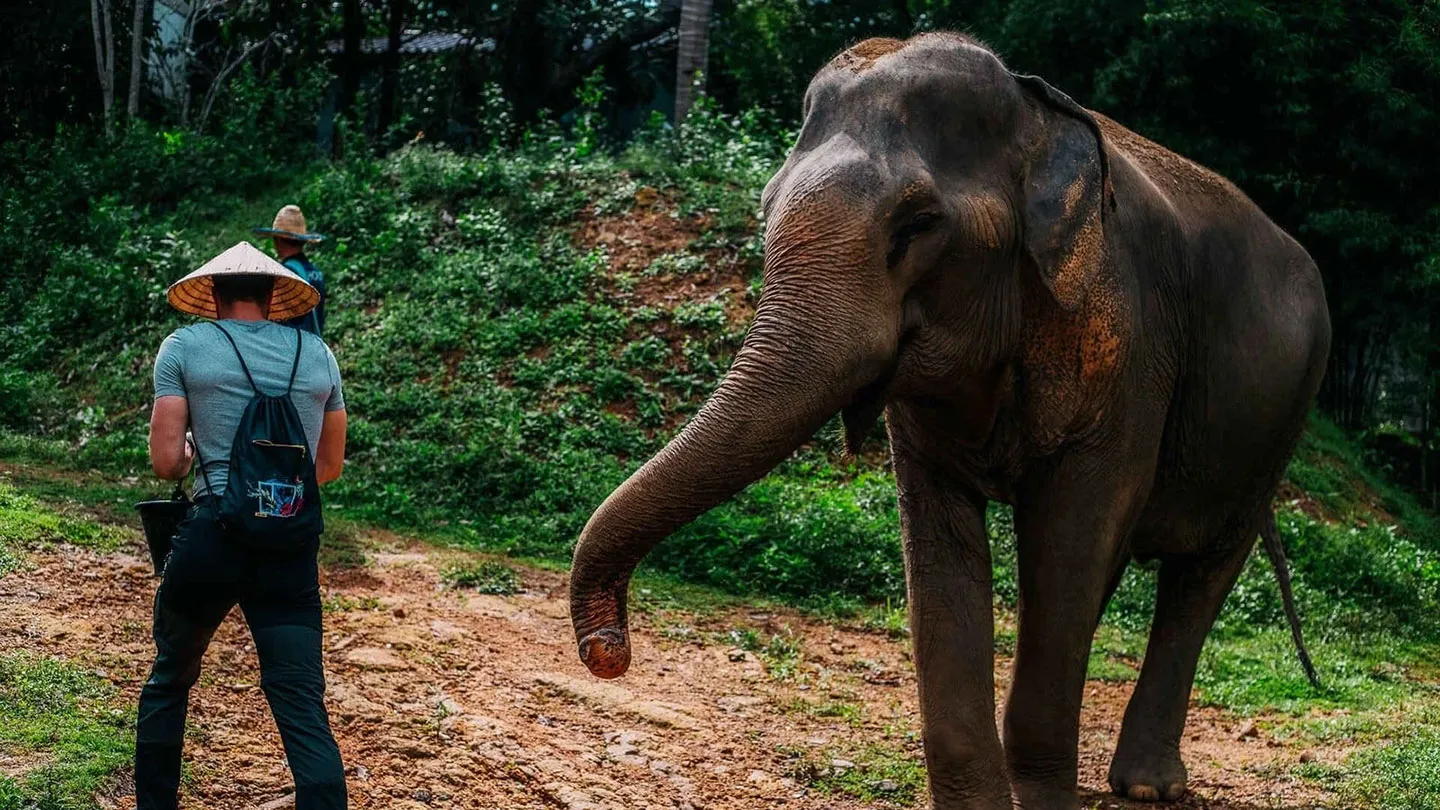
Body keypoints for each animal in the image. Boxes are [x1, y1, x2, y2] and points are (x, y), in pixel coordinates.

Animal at [568, 32, 1330, 810]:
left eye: (917, 226)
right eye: (766, 208)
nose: (609, 651)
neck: (1033, 114)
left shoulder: (1130, 349)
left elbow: (1074, 528)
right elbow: (945, 549)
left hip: (1283, 415)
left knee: (1200, 571)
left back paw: (1147, 787)